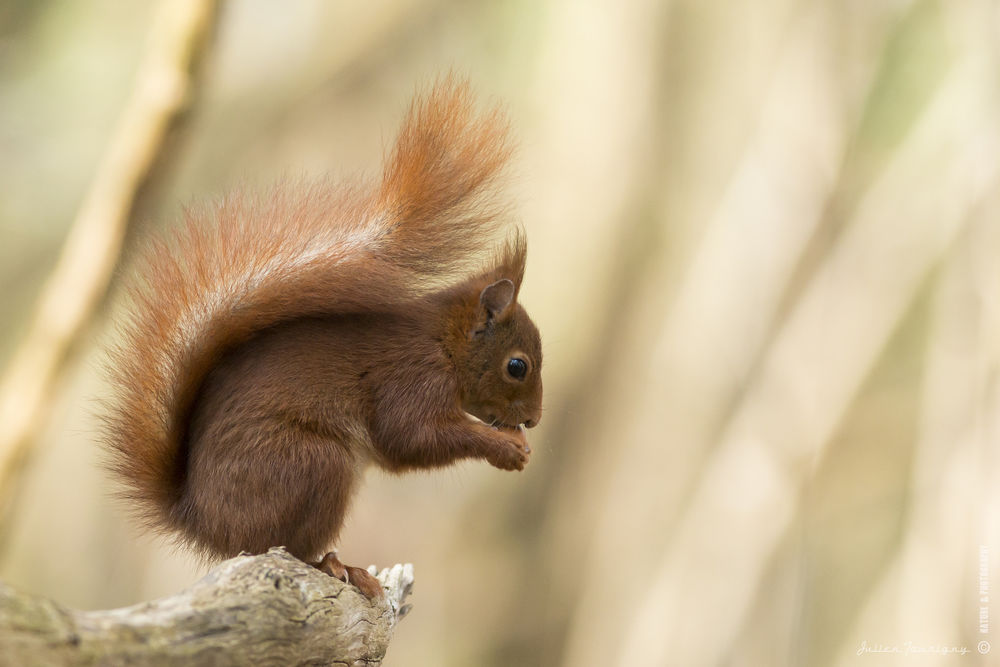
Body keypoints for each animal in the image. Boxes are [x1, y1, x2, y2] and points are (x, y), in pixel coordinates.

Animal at [100, 77, 540, 600]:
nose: (534, 421)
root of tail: (202, 523)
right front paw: (505, 448)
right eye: (517, 366)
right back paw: (337, 565)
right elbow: (411, 437)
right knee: (286, 547)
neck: (444, 343)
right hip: (313, 464)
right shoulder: (412, 378)